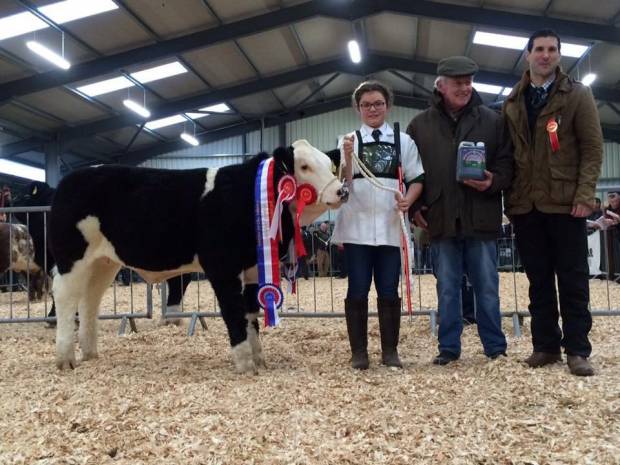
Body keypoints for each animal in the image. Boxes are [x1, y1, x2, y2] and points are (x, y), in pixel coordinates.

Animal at [50, 139, 346, 374]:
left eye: (329, 166)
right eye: (304, 167)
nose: (341, 190)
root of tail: (70, 178)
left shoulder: (252, 270)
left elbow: (251, 315)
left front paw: (259, 359)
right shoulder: (222, 266)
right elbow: (233, 312)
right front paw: (245, 364)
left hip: (104, 262)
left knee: (90, 299)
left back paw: (90, 353)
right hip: (71, 257)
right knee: (66, 297)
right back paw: (65, 358)